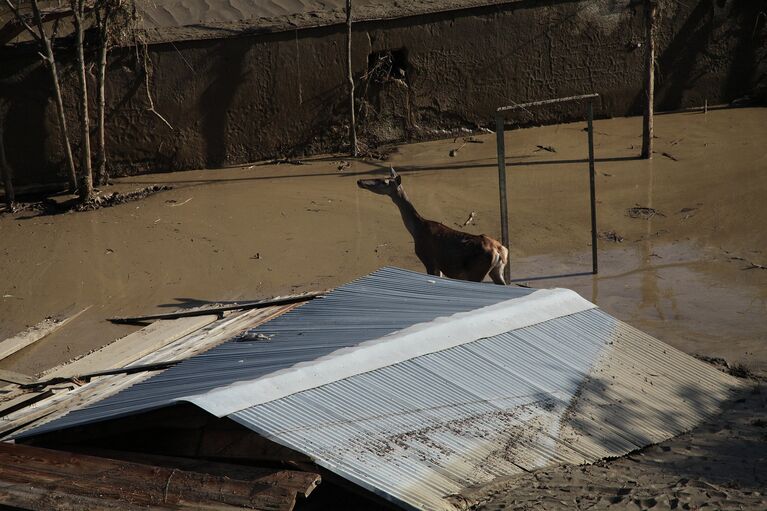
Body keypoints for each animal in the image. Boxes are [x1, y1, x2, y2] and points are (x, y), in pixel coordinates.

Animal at [360, 169, 510, 286]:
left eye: (383, 181)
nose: (360, 181)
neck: (416, 230)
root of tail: (500, 250)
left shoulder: (428, 259)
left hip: (476, 272)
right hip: (497, 269)